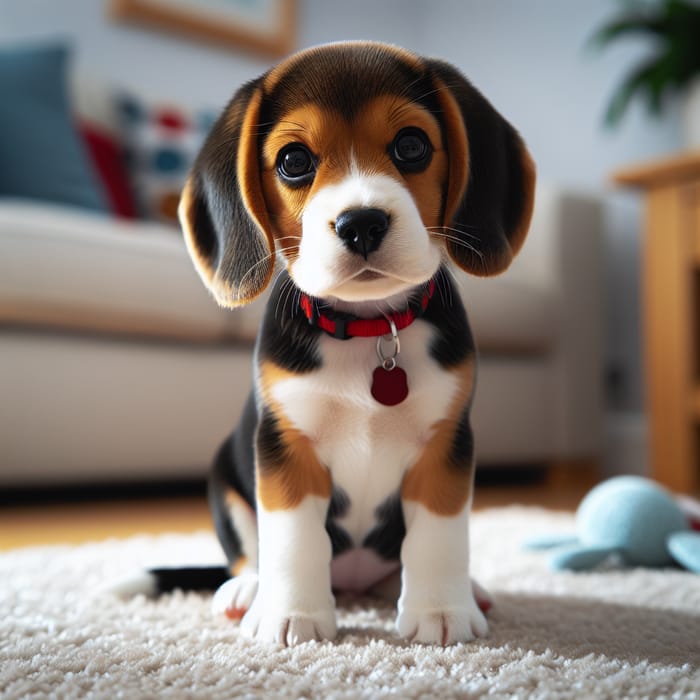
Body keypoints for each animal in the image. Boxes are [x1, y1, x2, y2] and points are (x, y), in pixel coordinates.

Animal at [176, 42, 536, 644]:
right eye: (293, 160)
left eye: (411, 145)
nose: (361, 223)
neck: (370, 330)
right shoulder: (286, 449)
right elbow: (292, 540)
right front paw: (293, 615)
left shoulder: (445, 444)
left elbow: (439, 537)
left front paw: (440, 611)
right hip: (224, 475)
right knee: (250, 552)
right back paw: (249, 591)